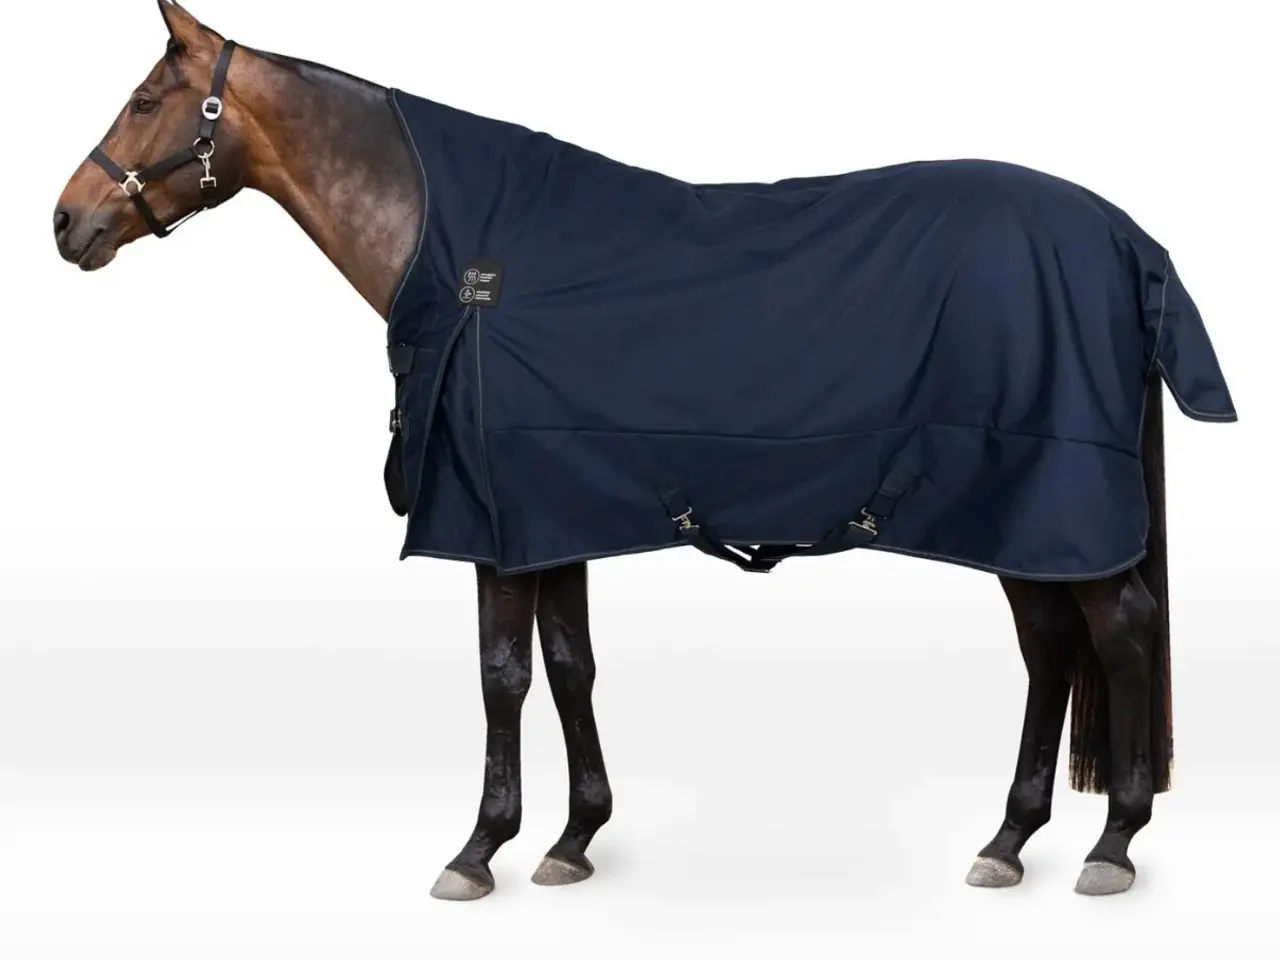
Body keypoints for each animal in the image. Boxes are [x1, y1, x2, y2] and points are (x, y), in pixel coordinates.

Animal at [53, 2, 1237, 901]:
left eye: (147, 100)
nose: (66, 223)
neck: (469, 261)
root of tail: (1127, 243)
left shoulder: (492, 526)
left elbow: (500, 677)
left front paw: (477, 851)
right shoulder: (549, 517)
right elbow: (568, 664)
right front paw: (573, 840)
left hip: (1050, 505)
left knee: (1120, 633)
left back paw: (1112, 843)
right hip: (1019, 519)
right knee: (1052, 648)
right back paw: (1009, 840)